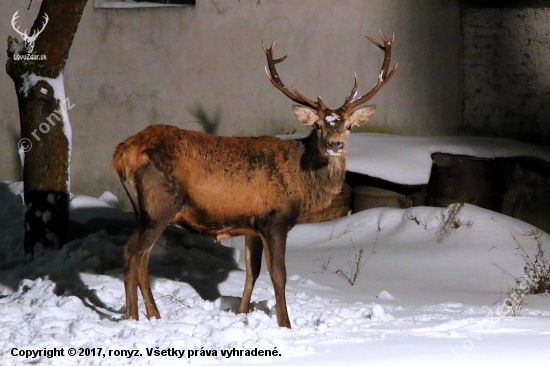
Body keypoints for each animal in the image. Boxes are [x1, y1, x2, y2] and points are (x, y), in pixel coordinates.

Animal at [113, 30, 396, 328]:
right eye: (318, 125)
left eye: (349, 126)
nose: (335, 144)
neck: (302, 183)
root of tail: (122, 152)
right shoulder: (275, 219)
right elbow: (279, 275)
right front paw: (285, 325)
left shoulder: (252, 225)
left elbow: (253, 271)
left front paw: (241, 314)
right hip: (160, 203)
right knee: (133, 253)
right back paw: (134, 317)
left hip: (143, 209)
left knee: (142, 258)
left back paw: (153, 315)